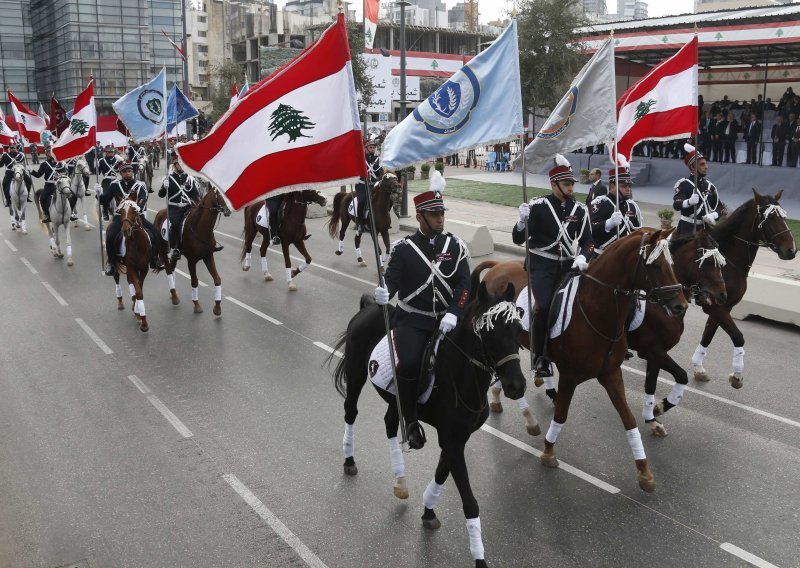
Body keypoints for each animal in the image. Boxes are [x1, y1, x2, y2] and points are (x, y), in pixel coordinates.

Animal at [111, 200, 152, 332]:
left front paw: (139, 314)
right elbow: (138, 291)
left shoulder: (143, 268)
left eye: (134, 211)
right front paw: (143, 321)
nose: (125, 229)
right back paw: (120, 302)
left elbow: (139, 287)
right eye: (121, 211)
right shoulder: (132, 268)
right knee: (118, 279)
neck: (136, 243)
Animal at [154, 189, 230, 318]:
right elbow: (194, 281)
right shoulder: (192, 260)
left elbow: (217, 279)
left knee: (172, 268)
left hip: (175, 254)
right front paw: (196, 305)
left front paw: (217, 307)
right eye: (218, 193)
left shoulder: (208, 256)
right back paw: (174, 296)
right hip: (163, 250)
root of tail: (160, 213)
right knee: (168, 270)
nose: (228, 210)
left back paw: (173, 294)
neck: (200, 228)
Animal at [328, 284, 528, 568]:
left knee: (391, 424)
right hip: (356, 375)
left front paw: (428, 510)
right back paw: (349, 459)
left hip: (396, 399)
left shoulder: (457, 438)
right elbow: (470, 501)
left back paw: (400, 481)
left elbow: (442, 474)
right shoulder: (452, 440)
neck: (460, 375)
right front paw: (479, 558)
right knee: (351, 412)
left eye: (517, 328)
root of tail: (369, 307)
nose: (516, 386)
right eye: (489, 331)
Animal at [692, 189, 796, 388]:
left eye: (784, 216)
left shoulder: (724, 307)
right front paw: (737, 375)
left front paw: (698, 368)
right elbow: (737, 336)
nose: (791, 250)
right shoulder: (713, 306)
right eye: (769, 218)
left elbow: (708, 335)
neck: (727, 262)